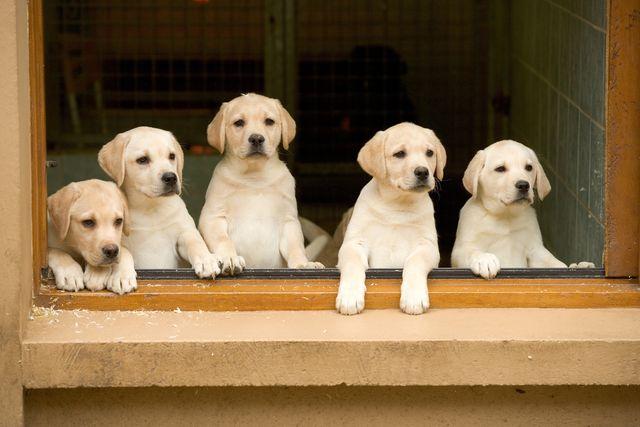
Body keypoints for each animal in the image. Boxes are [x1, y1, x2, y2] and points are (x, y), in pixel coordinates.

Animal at [99, 125, 221, 280]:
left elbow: (195, 242)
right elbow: (123, 254)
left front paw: (206, 260)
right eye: (142, 160)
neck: (151, 207)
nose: (171, 177)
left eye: (172, 156)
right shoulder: (116, 241)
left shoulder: (184, 233)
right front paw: (122, 275)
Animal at [199, 95, 324, 272]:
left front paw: (303, 264)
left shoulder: (289, 221)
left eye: (269, 121)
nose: (256, 138)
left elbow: (296, 247)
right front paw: (230, 258)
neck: (255, 177)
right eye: (239, 123)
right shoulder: (212, 216)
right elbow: (223, 240)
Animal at [336, 122, 444, 316]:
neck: (397, 204)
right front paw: (350, 296)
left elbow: (415, 261)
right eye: (399, 154)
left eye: (429, 153)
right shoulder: (354, 243)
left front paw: (414, 297)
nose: (423, 171)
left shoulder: (427, 245)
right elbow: (353, 263)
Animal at [450, 139, 596, 278]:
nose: (524, 185)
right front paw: (484, 259)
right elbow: (471, 251)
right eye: (500, 169)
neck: (506, 216)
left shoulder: (535, 250)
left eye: (529, 167)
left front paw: (573, 267)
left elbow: (554, 263)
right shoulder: (461, 250)